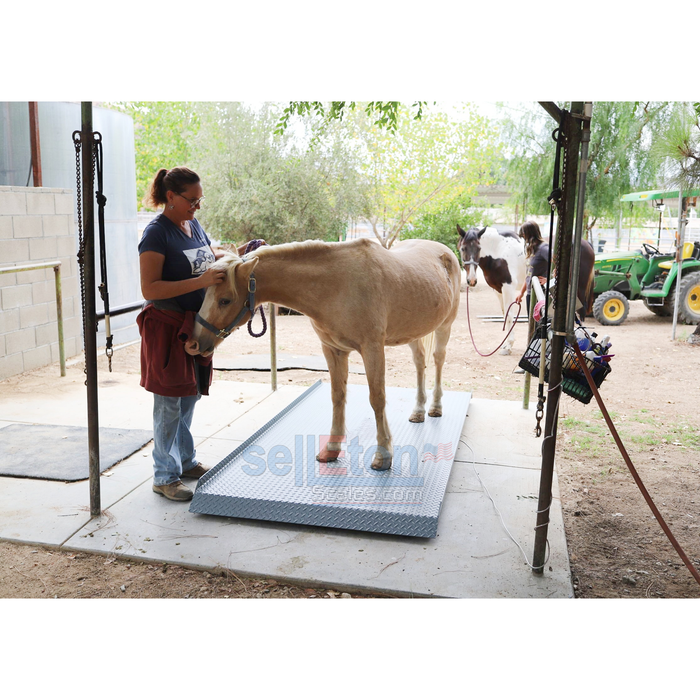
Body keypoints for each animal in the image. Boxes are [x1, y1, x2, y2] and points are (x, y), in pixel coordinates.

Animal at [185, 237, 462, 471]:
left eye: (225, 300)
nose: (193, 344)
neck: (336, 285)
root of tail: (444, 251)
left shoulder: (372, 349)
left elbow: (377, 399)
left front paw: (383, 455)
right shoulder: (333, 349)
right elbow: (337, 396)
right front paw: (331, 449)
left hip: (445, 326)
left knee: (438, 359)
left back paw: (435, 407)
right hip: (413, 333)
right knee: (419, 362)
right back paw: (418, 410)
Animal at [457, 225, 526, 355]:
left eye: (479, 248)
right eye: (463, 248)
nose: (472, 280)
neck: (499, 250)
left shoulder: (508, 287)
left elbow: (510, 315)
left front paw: (509, 346)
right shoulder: (498, 289)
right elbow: (505, 315)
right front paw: (506, 344)